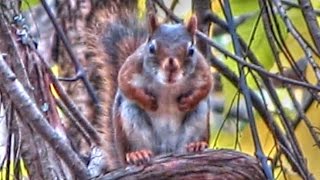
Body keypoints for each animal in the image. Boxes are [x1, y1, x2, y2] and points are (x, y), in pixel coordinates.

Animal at [82, 2, 212, 170]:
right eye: (151, 48)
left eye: (191, 50)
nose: (171, 67)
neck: (168, 86)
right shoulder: (130, 67)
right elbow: (125, 84)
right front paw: (149, 102)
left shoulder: (203, 69)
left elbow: (206, 87)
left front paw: (187, 102)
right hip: (130, 121)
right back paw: (137, 154)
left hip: (199, 117)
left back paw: (195, 145)